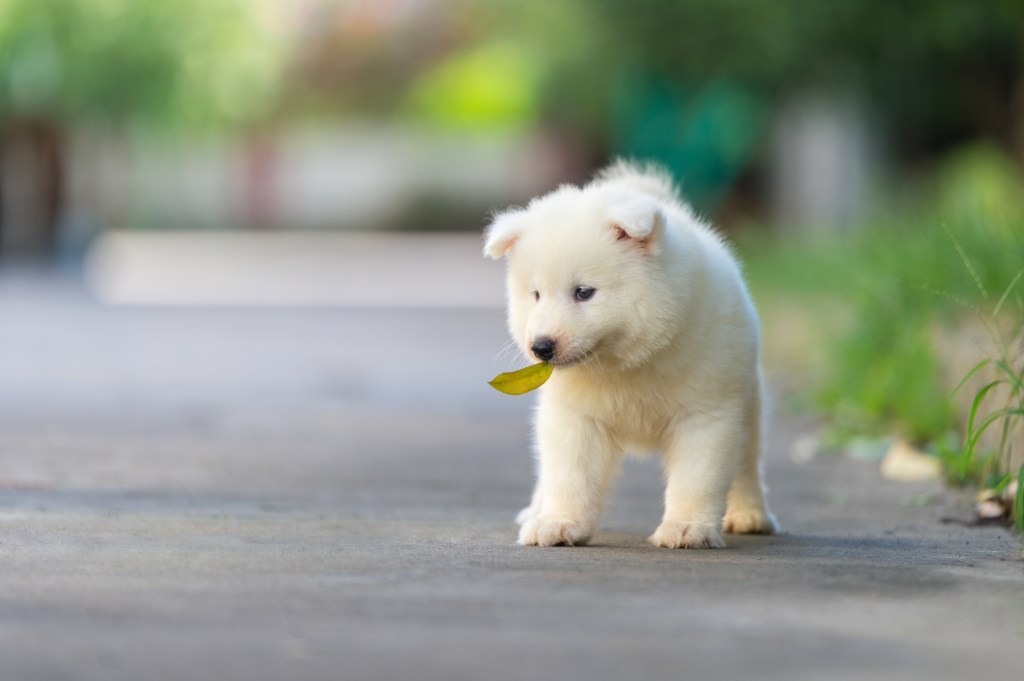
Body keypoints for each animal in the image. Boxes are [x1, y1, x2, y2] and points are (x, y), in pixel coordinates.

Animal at [485, 159, 774, 548]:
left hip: (748, 404)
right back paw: (536, 511)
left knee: (747, 463)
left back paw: (750, 515)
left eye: (584, 292)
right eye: (535, 295)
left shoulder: (706, 413)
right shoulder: (575, 417)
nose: (541, 347)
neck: (627, 363)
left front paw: (687, 528)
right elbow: (569, 475)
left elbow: (697, 477)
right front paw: (559, 523)